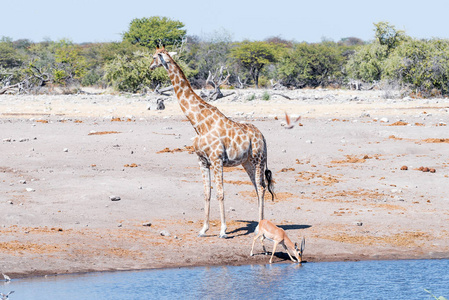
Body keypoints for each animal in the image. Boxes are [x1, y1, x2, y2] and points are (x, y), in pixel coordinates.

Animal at [150, 45, 272, 238]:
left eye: (155, 56)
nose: (150, 67)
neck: (198, 122)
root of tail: (263, 137)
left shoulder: (216, 160)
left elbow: (220, 193)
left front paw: (223, 230)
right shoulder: (202, 161)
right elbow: (207, 193)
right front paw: (203, 229)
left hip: (258, 159)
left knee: (261, 188)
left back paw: (259, 227)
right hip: (247, 162)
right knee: (256, 187)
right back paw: (258, 225)